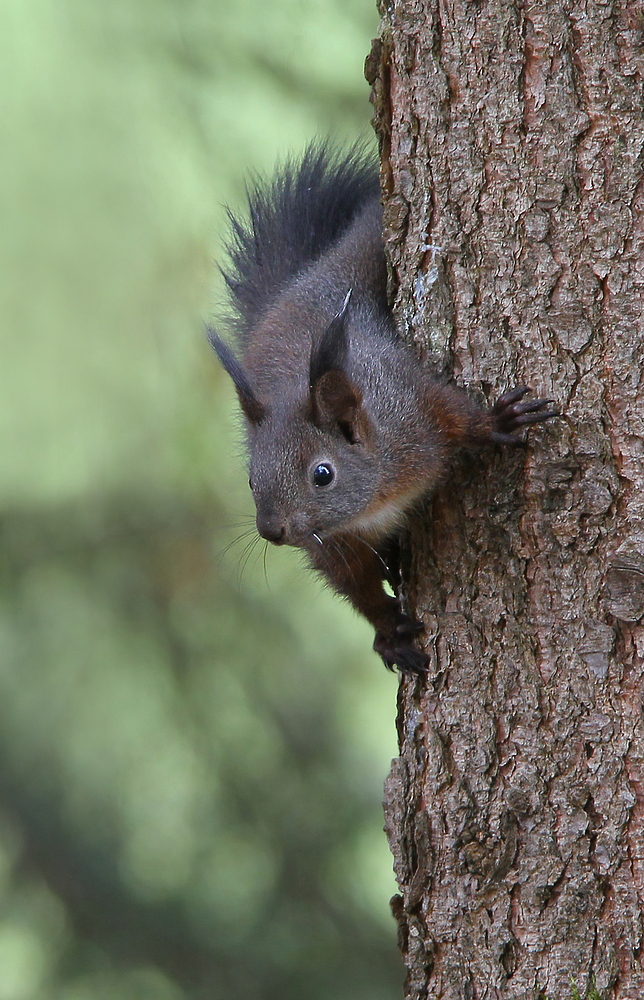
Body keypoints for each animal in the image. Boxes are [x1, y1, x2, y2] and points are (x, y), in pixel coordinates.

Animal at [208, 143, 560, 672]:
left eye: (323, 474)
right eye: (251, 479)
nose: (272, 530)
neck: (375, 498)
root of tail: (308, 276)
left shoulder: (411, 402)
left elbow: (454, 413)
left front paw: (496, 420)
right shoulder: (333, 544)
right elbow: (356, 587)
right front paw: (389, 630)